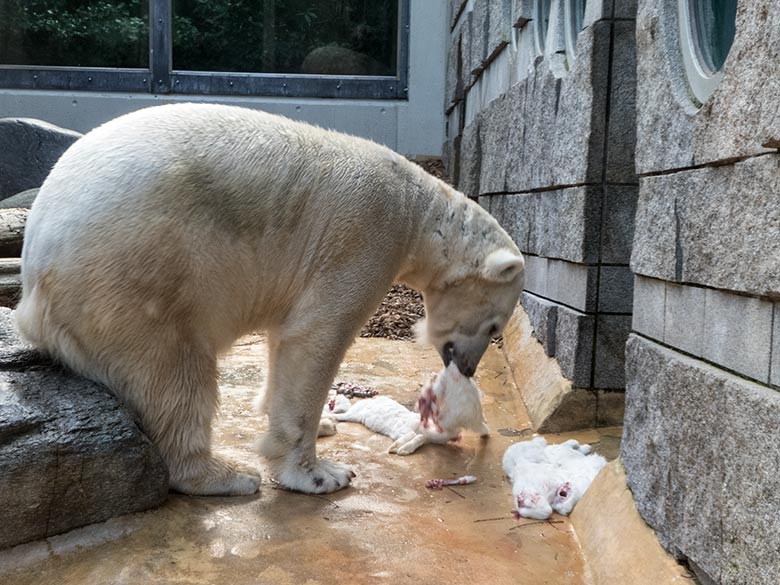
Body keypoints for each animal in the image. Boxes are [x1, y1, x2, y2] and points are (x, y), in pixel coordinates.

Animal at [15, 102, 524, 496]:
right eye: (495, 327)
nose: (468, 368)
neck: (421, 210)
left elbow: (283, 339)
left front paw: (321, 424)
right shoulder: (364, 234)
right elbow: (316, 336)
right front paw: (322, 474)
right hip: (135, 275)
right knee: (175, 373)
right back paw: (225, 475)